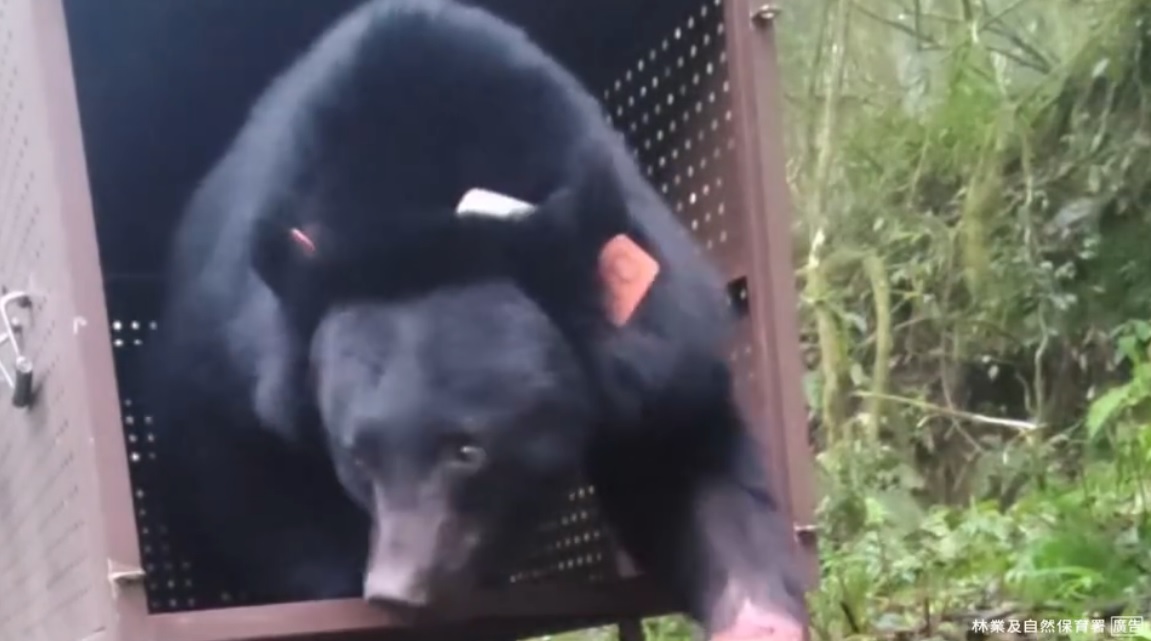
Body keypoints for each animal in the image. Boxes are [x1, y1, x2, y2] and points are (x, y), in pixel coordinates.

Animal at [144, 0, 807, 638]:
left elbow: (683, 458)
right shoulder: (234, 352)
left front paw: (759, 619)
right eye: (356, 455)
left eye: (469, 451)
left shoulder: (654, 340)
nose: (394, 591)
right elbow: (241, 469)